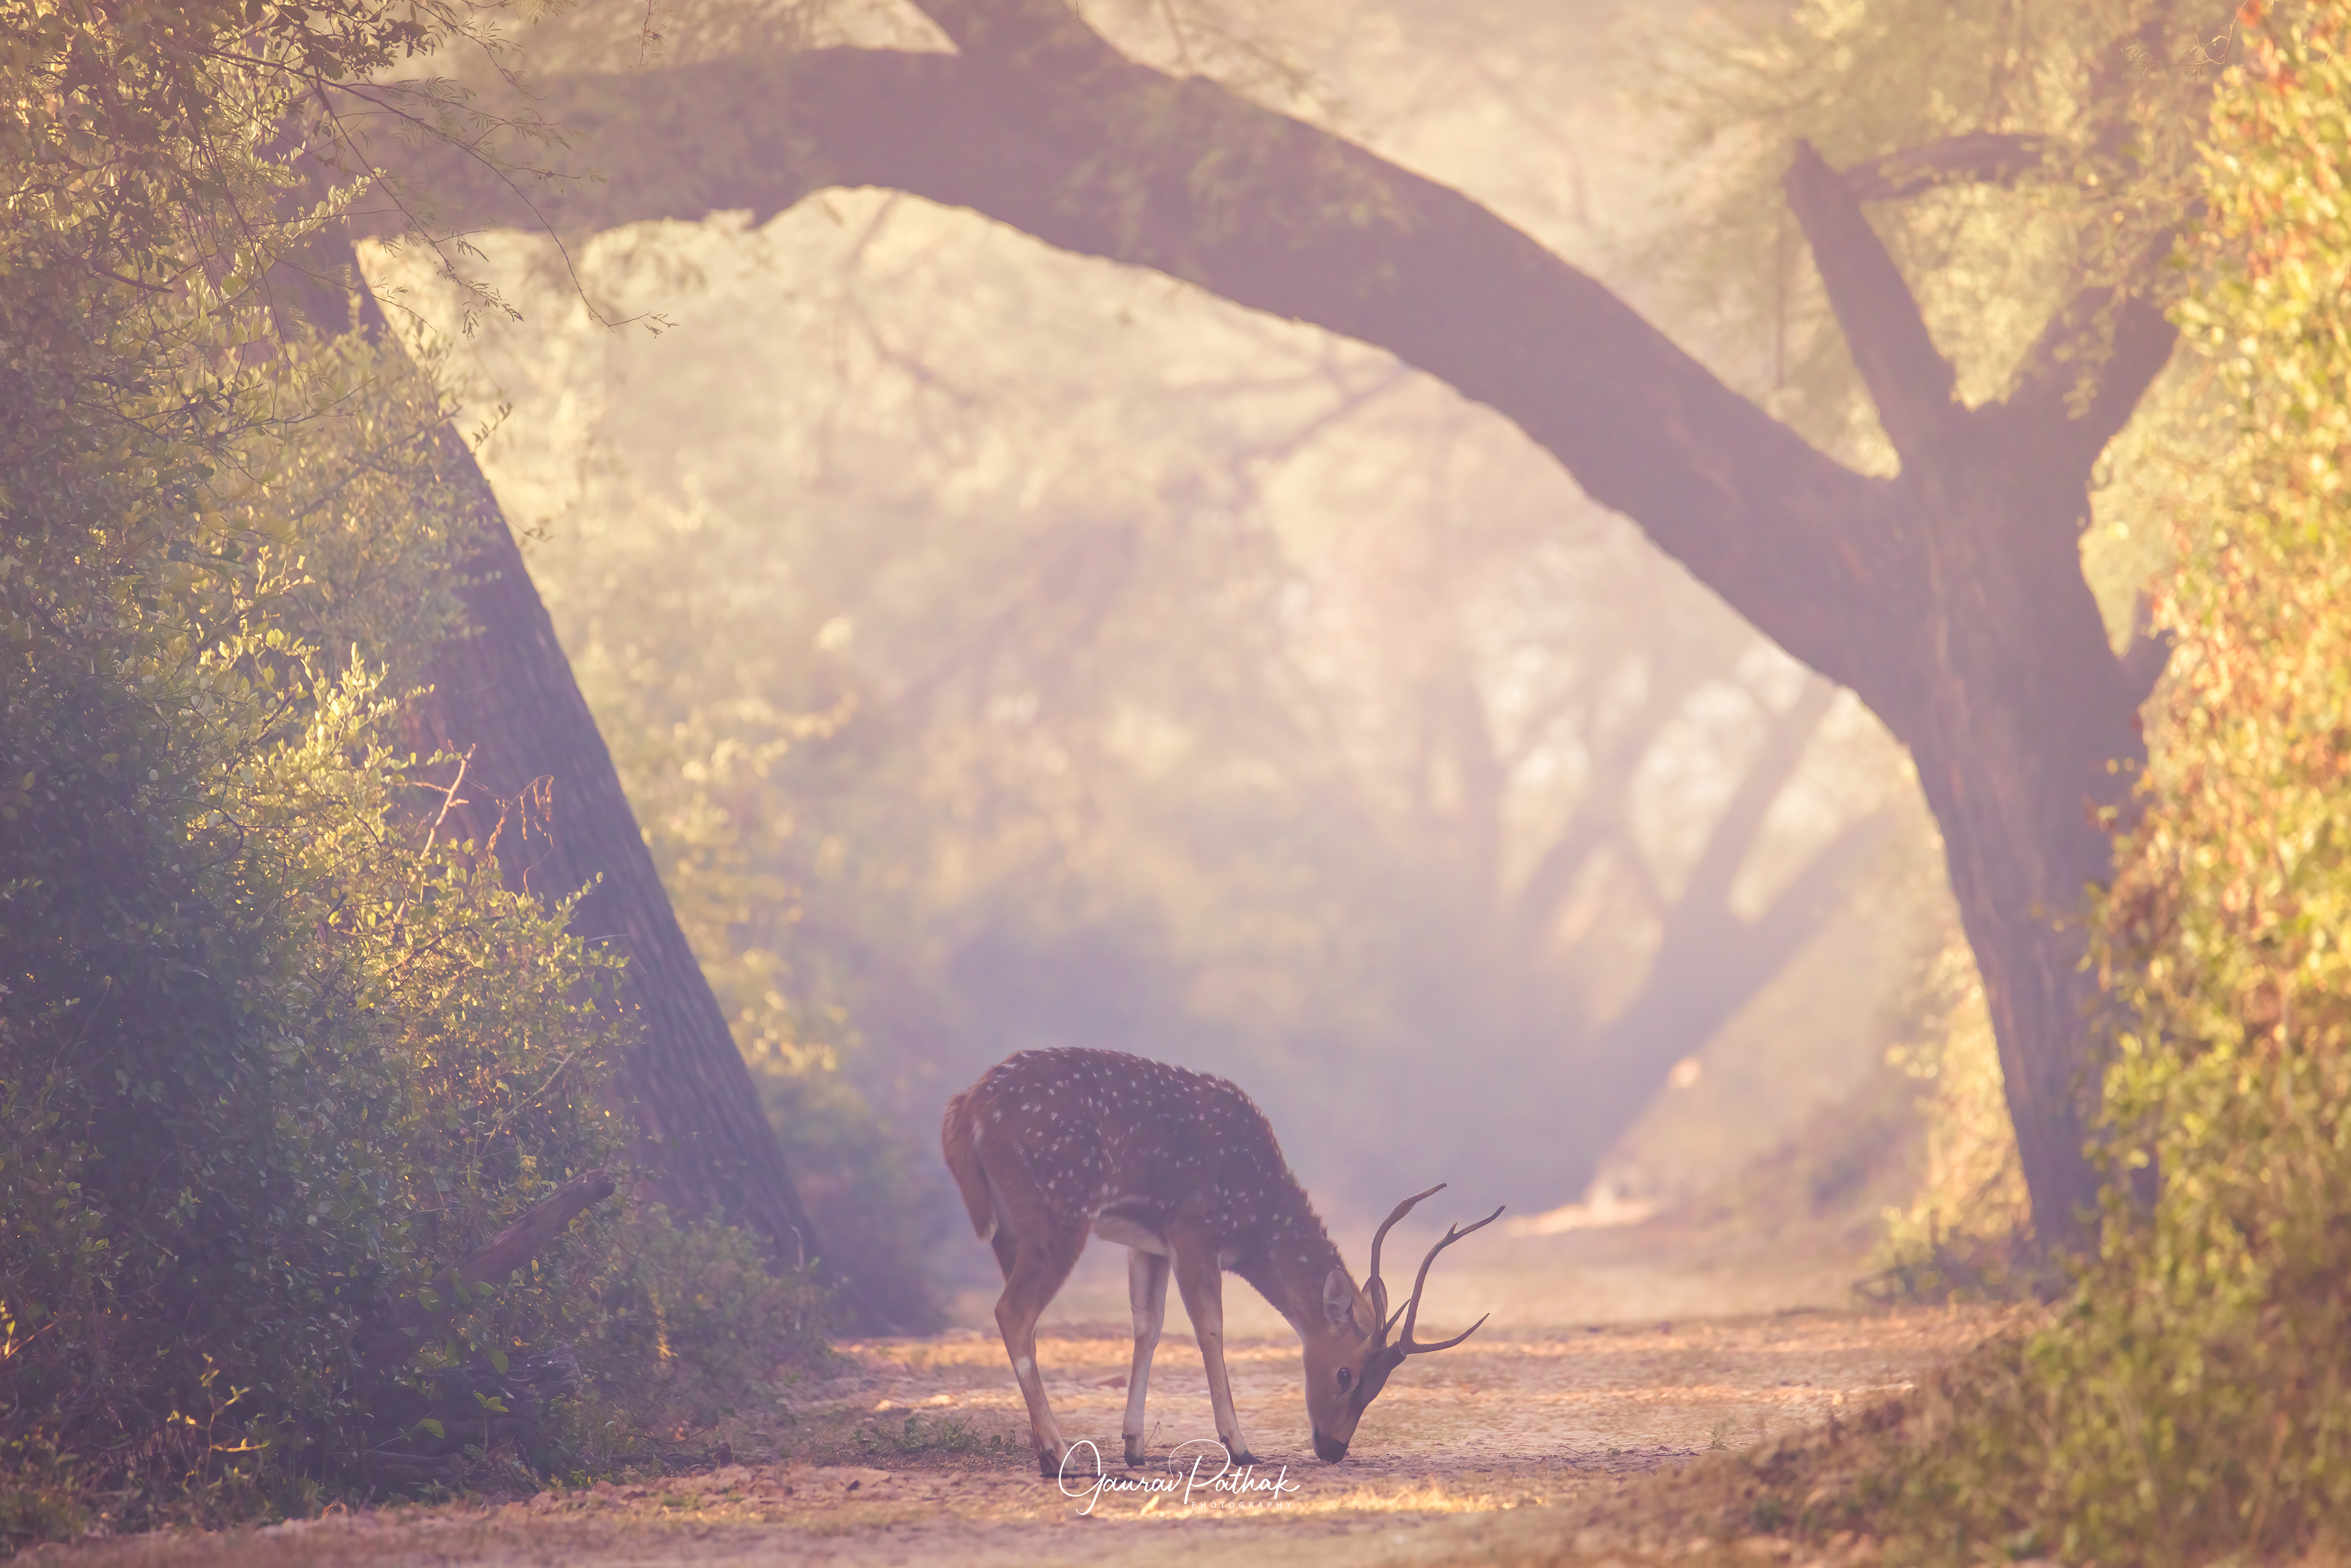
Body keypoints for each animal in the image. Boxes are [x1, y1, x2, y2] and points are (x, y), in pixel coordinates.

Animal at [941, 1046, 1502, 1476]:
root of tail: (963, 1111)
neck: (1256, 1217)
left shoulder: (1149, 1240)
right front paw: (1240, 1446)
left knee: (1024, 1316)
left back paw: (1050, 1450)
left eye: (1380, 1384)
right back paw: (1060, 1455)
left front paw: (1135, 1445)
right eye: (1346, 1373)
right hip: (1059, 1207)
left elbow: (1148, 1324)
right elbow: (1210, 1326)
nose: (1334, 1448)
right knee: (1013, 1311)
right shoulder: (1193, 1226)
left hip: (1013, 1226)